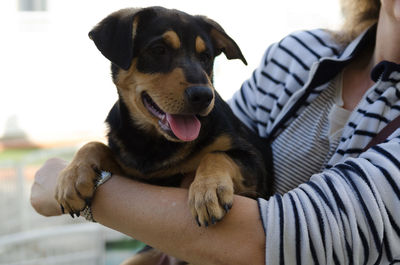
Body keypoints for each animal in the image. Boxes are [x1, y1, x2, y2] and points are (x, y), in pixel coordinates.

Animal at [55, 5, 272, 260]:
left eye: (206, 57)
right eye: (159, 50)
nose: (203, 96)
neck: (155, 141)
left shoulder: (256, 165)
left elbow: (216, 154)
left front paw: (208, 190)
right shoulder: (133, 173)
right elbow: (94, 145)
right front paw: (71, 178)